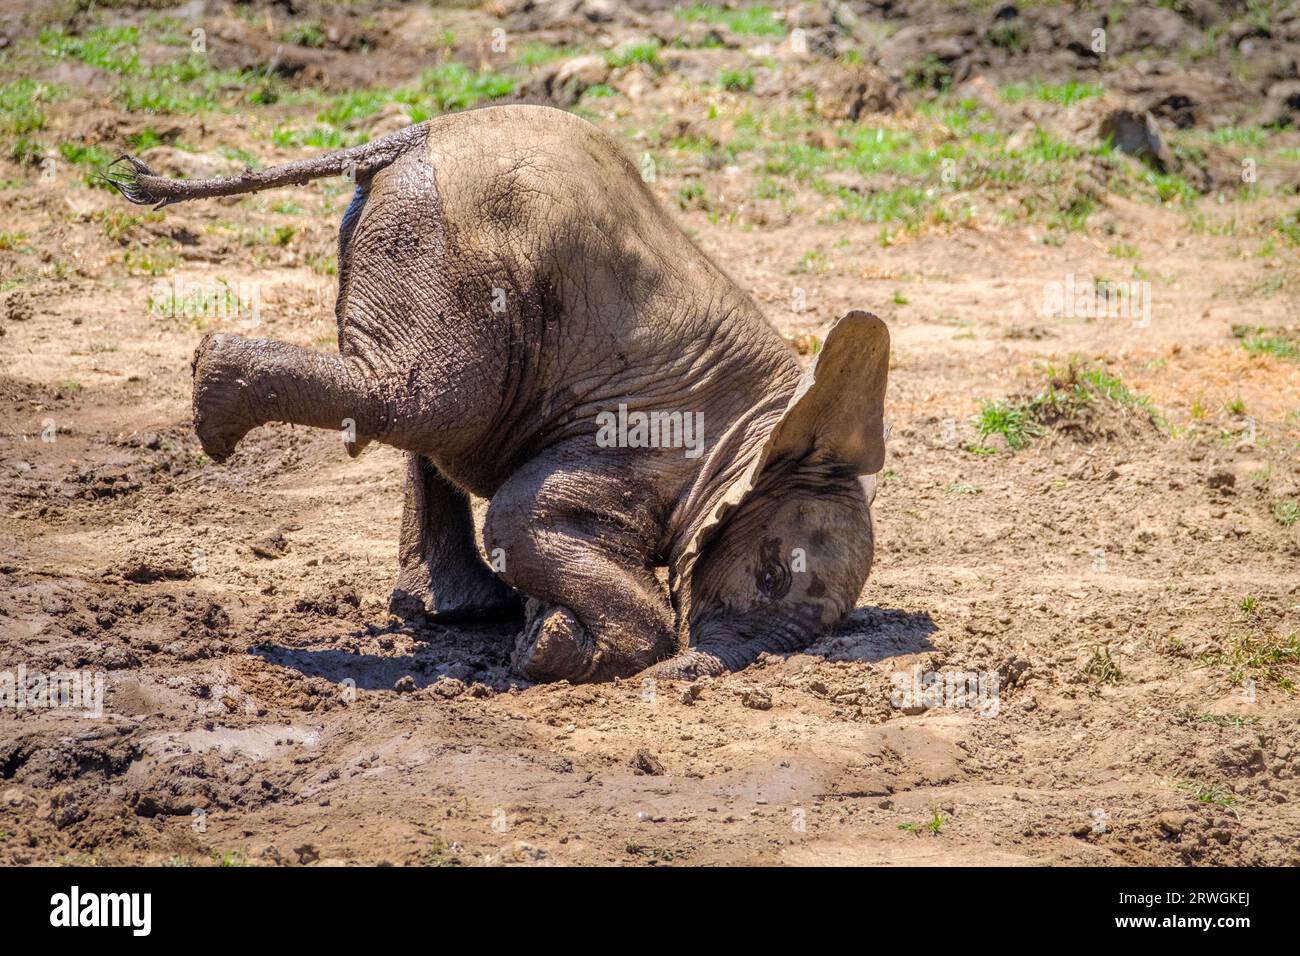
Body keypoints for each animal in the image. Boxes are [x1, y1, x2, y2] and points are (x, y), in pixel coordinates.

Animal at [106, 104, 889, 686]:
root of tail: (410, 135)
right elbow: (521, 518)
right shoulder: (644, 438)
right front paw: (558, 654)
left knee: (430, 417)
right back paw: (214, 418)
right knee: (419, 399)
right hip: (447, 251)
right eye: (770, 577)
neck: (766, 421)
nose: (689, 676)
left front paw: (540, 635)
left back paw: (458, 611)